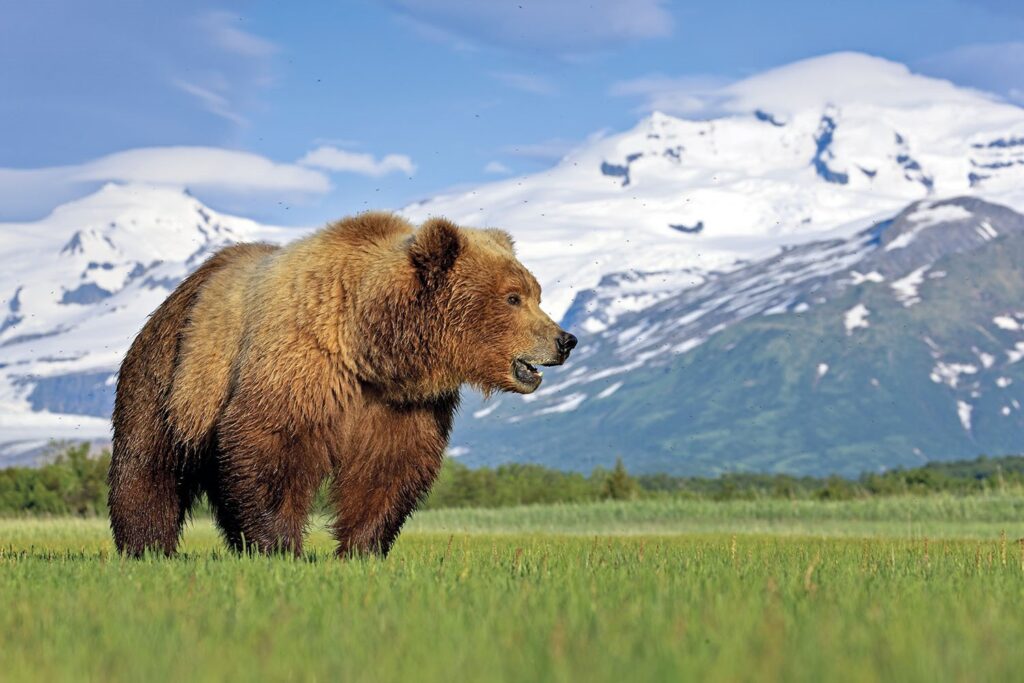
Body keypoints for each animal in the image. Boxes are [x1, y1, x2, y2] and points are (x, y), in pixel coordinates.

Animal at [111, 211, 577, 557]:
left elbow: (389, 467)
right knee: (148, 464)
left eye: (535, 293)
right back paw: (147, 547)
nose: (565, 340)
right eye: (513, 297)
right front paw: (281, 546)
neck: (370, 347)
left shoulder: (402, 404)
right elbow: (270, 445)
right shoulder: (301, 365)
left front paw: (361, 549)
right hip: (172, 374)